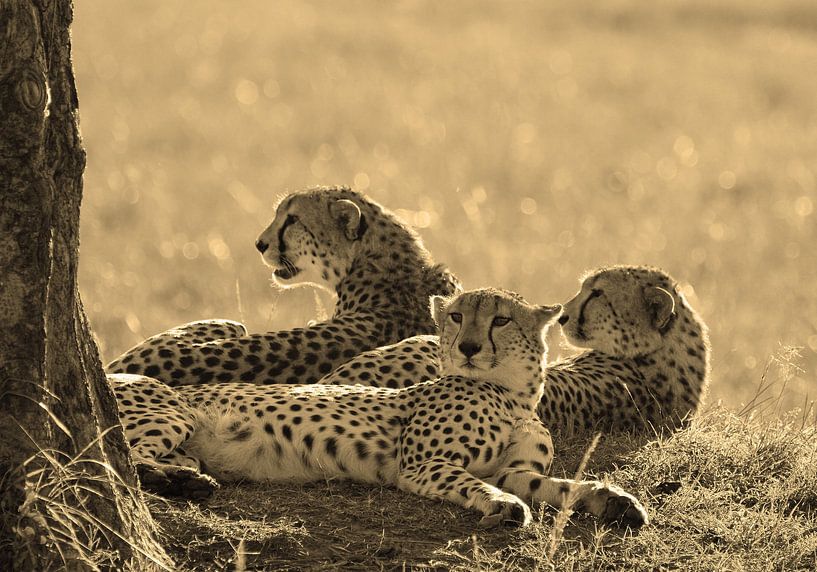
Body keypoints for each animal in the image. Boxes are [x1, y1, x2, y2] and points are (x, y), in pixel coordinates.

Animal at [116, 290, 652, 528]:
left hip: (186, 440)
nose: (469, 347)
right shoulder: (423, 464)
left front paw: (611, 499)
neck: (513, 395)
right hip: (171, 411)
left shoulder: (516, 469)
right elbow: (475, 483)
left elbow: (557, 485)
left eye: (500, 319)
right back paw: (178, 481)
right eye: (455, 316)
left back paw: (185, 480)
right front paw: (501, 506)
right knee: (125, 459)